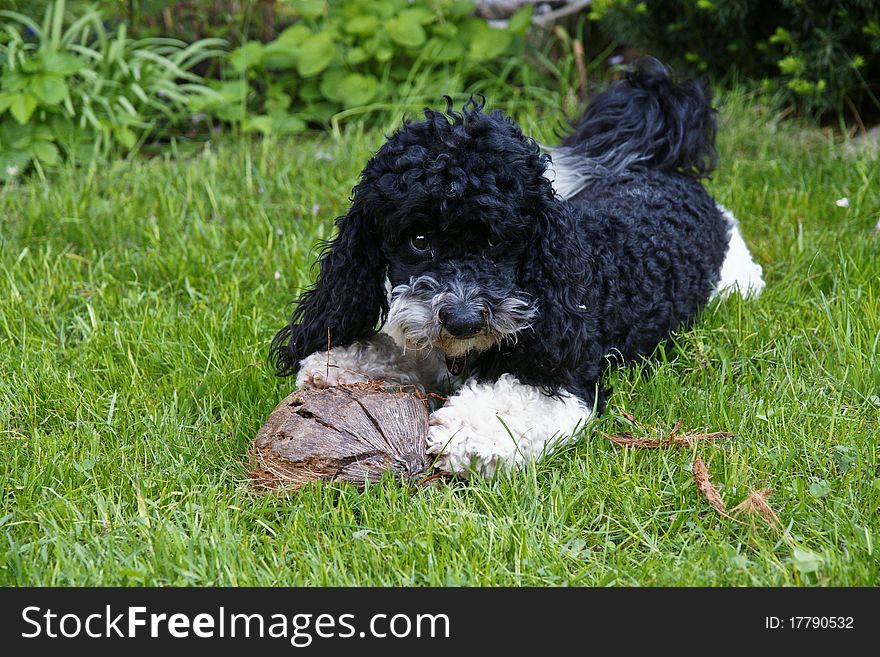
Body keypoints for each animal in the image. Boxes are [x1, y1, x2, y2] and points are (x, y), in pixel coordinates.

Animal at [270, 57, 764, 476]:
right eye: (418, 240)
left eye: (495, 240)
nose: (463, 320)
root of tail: (660, 169)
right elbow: (403, 347)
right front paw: (342, 362)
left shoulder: (568, 379)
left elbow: (511, 400)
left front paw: (464, 432)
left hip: (736, 282)